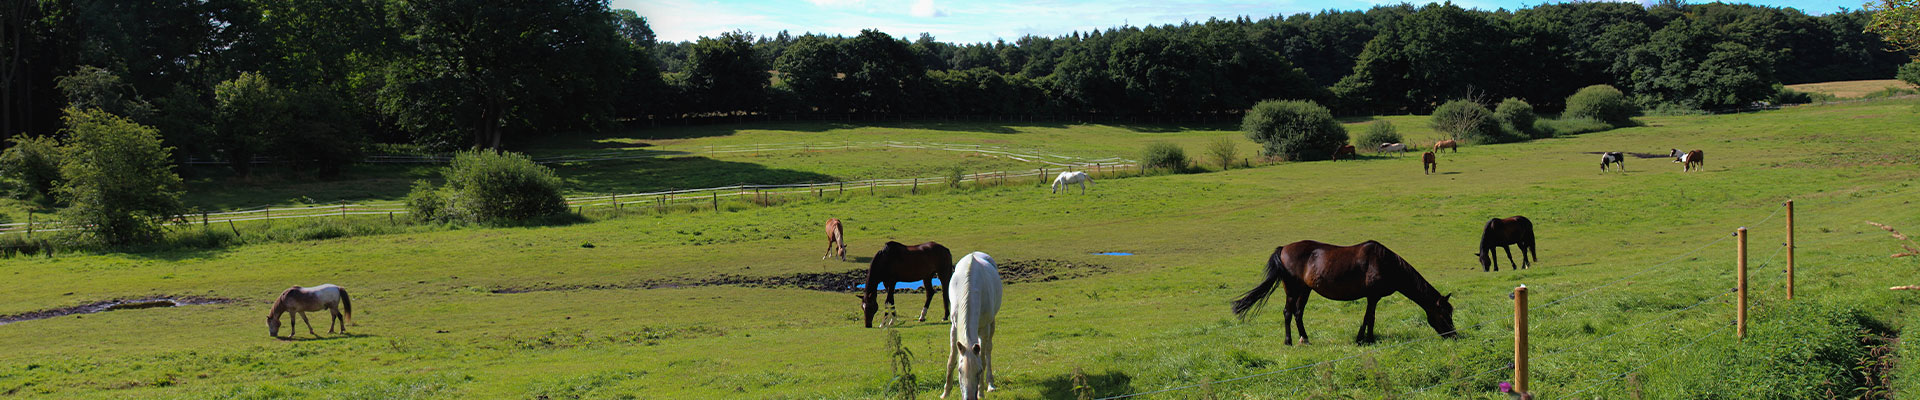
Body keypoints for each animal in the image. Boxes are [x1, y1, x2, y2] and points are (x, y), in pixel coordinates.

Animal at [944, 251, 1006, 398]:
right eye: (960, 371)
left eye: (978, 372)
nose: (969, 397)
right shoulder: (954, 327)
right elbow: (951, 359)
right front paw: (945, 392)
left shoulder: (984, 328)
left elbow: (982, 359)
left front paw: (981, 393)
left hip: (991, 324)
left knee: (988, 350)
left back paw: (990, 384)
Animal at [1228, 239, 1451, 346]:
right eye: (1444, 315)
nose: (1453, 335)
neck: (1385, 263)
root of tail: (1283, 249)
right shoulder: (1372, 297)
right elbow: (1369, 318)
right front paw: (1363, 340)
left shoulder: (1373, 298)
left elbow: (1371, 318)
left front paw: (1368, 338)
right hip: (1291, 289)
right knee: (1288, 313)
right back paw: (1288, 341)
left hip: (1305, 290)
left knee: (1298, 313)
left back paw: (1305, 339)